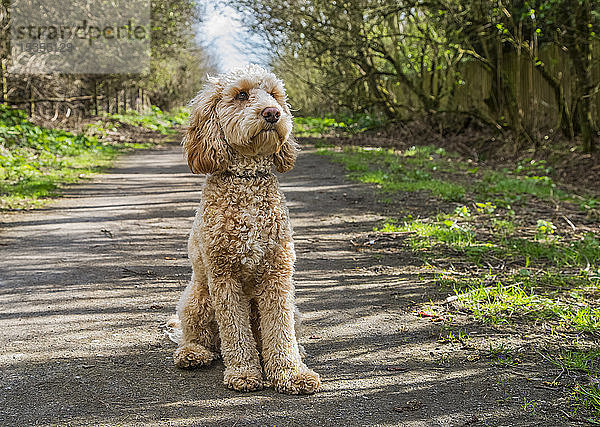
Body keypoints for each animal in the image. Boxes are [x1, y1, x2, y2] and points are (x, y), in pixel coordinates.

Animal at [171, 65, 322, 396]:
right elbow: (234, 332)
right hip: (196, 298)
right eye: (241, 95)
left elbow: (280, 331)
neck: (246, 180)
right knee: (204, 338)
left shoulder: (278, 274)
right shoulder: (223, 276)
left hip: (292, 308)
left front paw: (291, 374)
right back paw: (193, 353)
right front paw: (243, 372)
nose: (273, 113)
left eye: (275, 95)